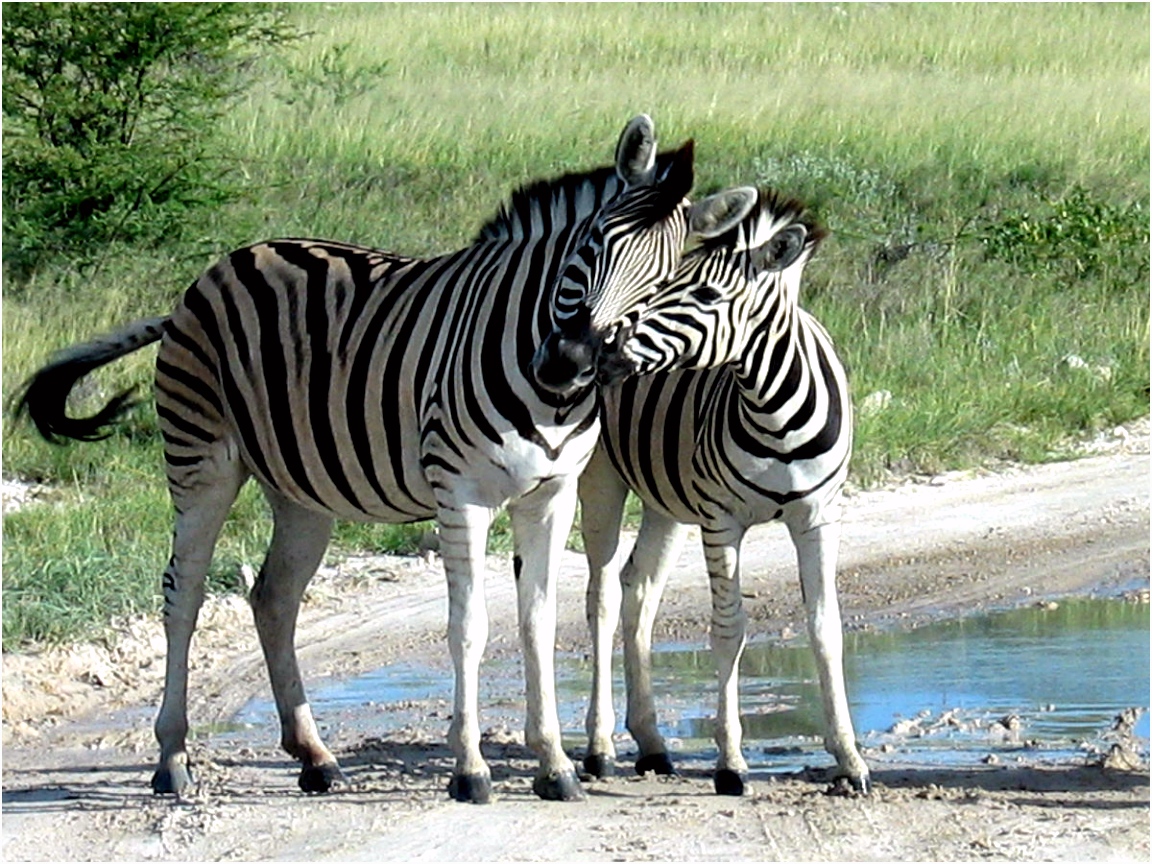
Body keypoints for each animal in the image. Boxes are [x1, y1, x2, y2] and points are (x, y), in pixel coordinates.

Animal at [13, 115, 763, 804]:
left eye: (661, 284)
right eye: (590, 245)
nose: (570, 359)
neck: (546, 388)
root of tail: (225, 262)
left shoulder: (550, 494)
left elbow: (537, 623)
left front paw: (554, 766)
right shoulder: (460, 493)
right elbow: (469, 626)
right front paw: (471, 770)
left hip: (301, 489)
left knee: (272, 598)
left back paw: (314, 756)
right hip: (202, 460)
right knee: (184, 594)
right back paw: (173, 759)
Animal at [579, 187, 871, 796]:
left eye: (709, 294)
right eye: (667, 285)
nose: (610, 358)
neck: (775, 412)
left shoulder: (819, 517)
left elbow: (826, 627)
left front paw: (849, 759)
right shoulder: (721, 520)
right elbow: (729, 629)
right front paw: (730, 762)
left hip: (664, 498)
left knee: (639, 589)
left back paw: (651, 741)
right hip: (602, 480)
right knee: (603, 597)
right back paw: (599, 749)